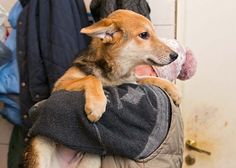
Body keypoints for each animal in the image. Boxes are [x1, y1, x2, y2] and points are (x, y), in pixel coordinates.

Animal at [24, 9, 181, 168]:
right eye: (144, 35)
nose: (175, 55)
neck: (115, 73)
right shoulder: (60, 85)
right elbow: (92, 78)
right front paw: (96, 105)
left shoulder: (132, 80)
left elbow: (149, 78)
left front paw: (174, 91)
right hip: (40, 146)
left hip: (92, 159)